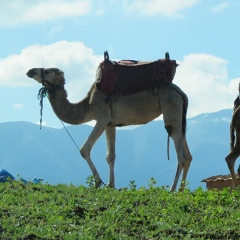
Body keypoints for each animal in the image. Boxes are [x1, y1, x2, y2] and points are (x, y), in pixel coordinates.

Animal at [26, 63, 192, 191]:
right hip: (179, 117)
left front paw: (98, 182)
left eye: (47, 71)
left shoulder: (102, 118)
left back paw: (173, 189)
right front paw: (110, 185)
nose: (30, 71)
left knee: (181, 154)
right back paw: (181, 190)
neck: (88, 105)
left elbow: (84, 149)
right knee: (188, 154)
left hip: (170, 108)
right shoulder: (110, 124)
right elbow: (110, 156)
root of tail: (180, 92)